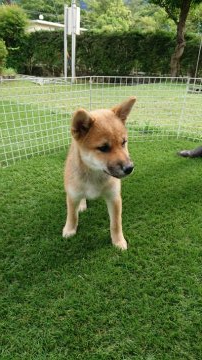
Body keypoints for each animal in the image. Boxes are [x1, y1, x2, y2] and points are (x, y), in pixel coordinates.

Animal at [62, 96, 137, 250]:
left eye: (123, 142)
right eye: (103, 148)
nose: (129, 168)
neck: (94, 174)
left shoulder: (114, 198)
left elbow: (116, 223)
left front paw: (118, 241)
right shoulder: (72, 195)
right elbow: (72, 215)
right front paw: (69, 229)